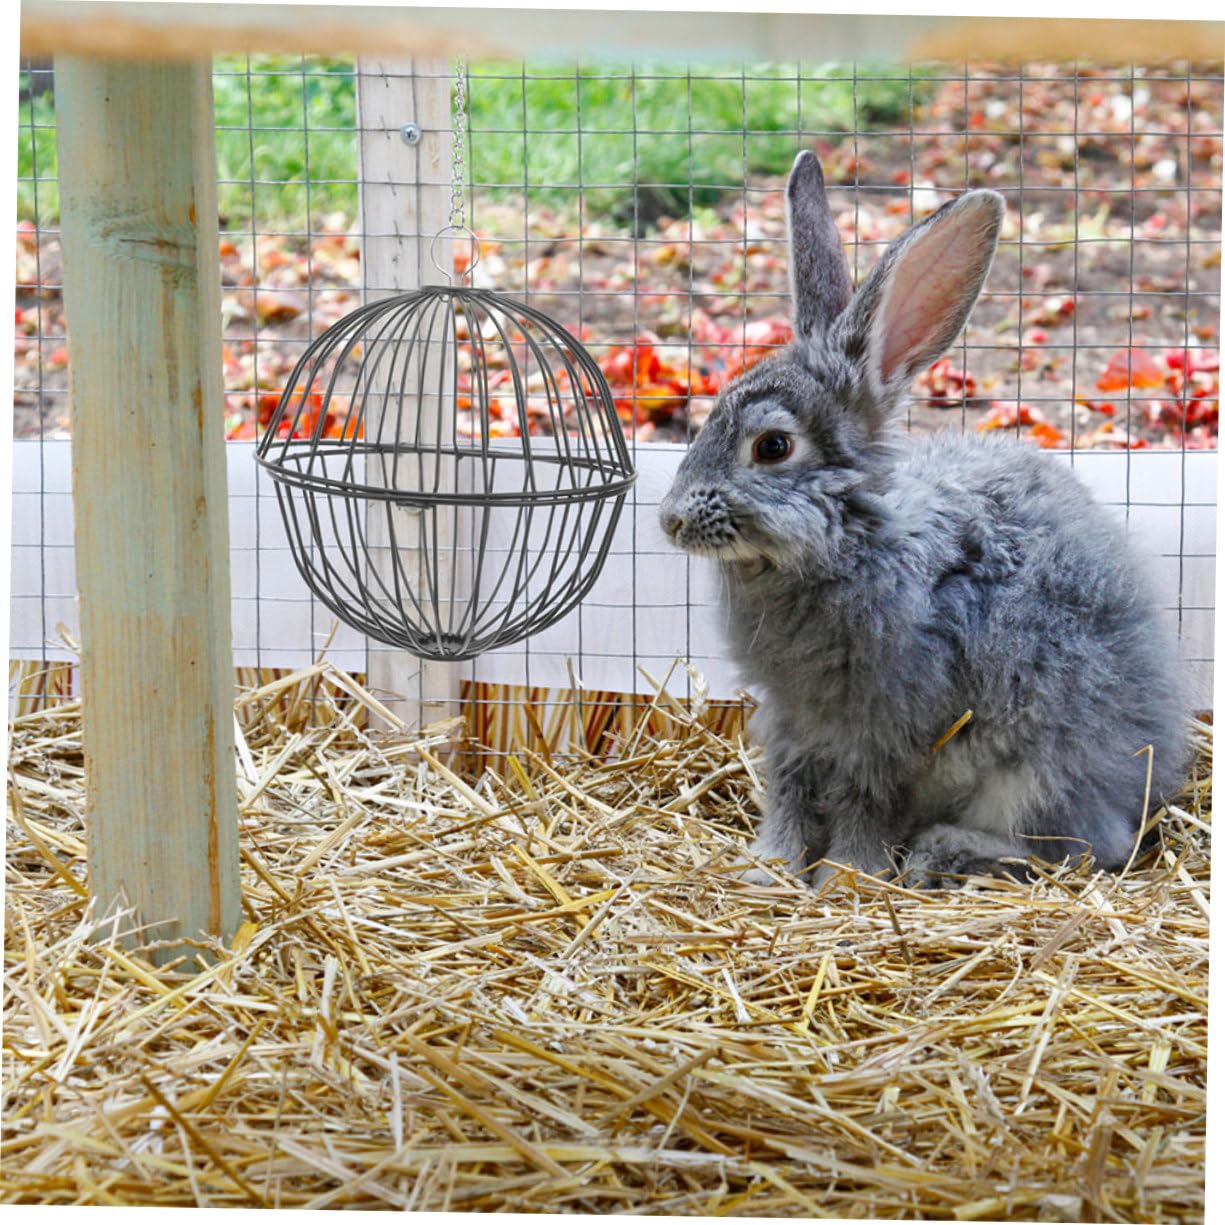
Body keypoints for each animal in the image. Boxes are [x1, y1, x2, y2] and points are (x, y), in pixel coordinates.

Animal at [659, 151, 1189, 888]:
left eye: (772, 447)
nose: (670, 521)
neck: (851, 540)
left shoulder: (888, 729)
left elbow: (865, 801)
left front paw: (847, 876)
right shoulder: (791, 721)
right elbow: (789, 789)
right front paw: (769, 868)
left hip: (1037, 770)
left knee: (1084, 847)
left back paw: (946, 851)